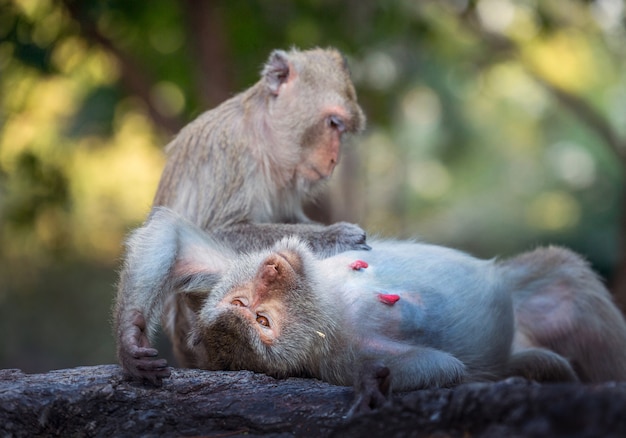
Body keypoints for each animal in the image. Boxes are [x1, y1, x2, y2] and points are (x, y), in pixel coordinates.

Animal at [114, 207, 624, 408]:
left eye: (248, 305)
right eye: (260, 319)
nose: (274, 269)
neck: (330, 299)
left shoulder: (230, 266)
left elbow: (177, 236)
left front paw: (131, 338)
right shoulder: (337, 357)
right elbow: (442, 367)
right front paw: (372, 383)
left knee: (565, 279)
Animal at [116, 48, 368, 370]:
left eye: (343, 130)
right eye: (334, 123)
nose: (335, 159)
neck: (262, 137)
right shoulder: (229, 152)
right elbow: (220, 231)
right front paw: (336, 234)